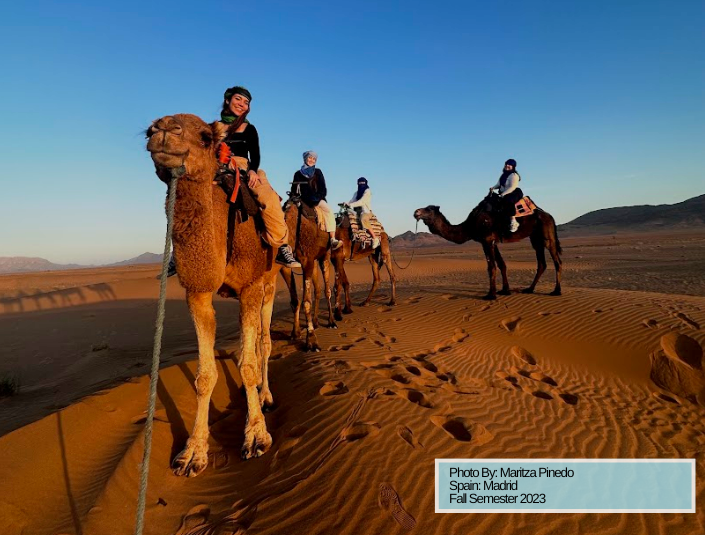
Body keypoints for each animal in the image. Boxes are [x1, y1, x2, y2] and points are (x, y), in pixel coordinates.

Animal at [146, 114, 278, 478]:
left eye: (206, 137)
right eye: (149, 129)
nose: (162, 129)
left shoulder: (251, 286)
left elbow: (249, 364)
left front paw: (256, 436)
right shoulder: (198, 293)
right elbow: (204, 376)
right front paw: (192, 453)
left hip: (271, 280)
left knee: (265, 341)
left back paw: (266, 395)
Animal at [280, 197, 336, 352]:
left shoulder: (307, 261)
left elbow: (306, 301)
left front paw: (311, 341)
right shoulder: (285, 267)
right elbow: (295, 301)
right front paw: (295, 333)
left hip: (324, 256)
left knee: (327, 290)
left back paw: (331, 321)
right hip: (315, 262)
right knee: (317, 290)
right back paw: (316, 322)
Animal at [412, 194, 560, 302]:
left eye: (429, 209)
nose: (416, 212)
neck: (470, 225)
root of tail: (550, 216)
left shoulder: (486, 240)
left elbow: (491, 267)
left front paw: (491, 295)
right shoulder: (493, 242)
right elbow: (502, 264)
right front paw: (505, 290)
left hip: (547, 234)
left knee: (557, 261)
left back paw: (556, 291)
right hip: (535, 238)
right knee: (541, 263)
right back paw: (529, 289)